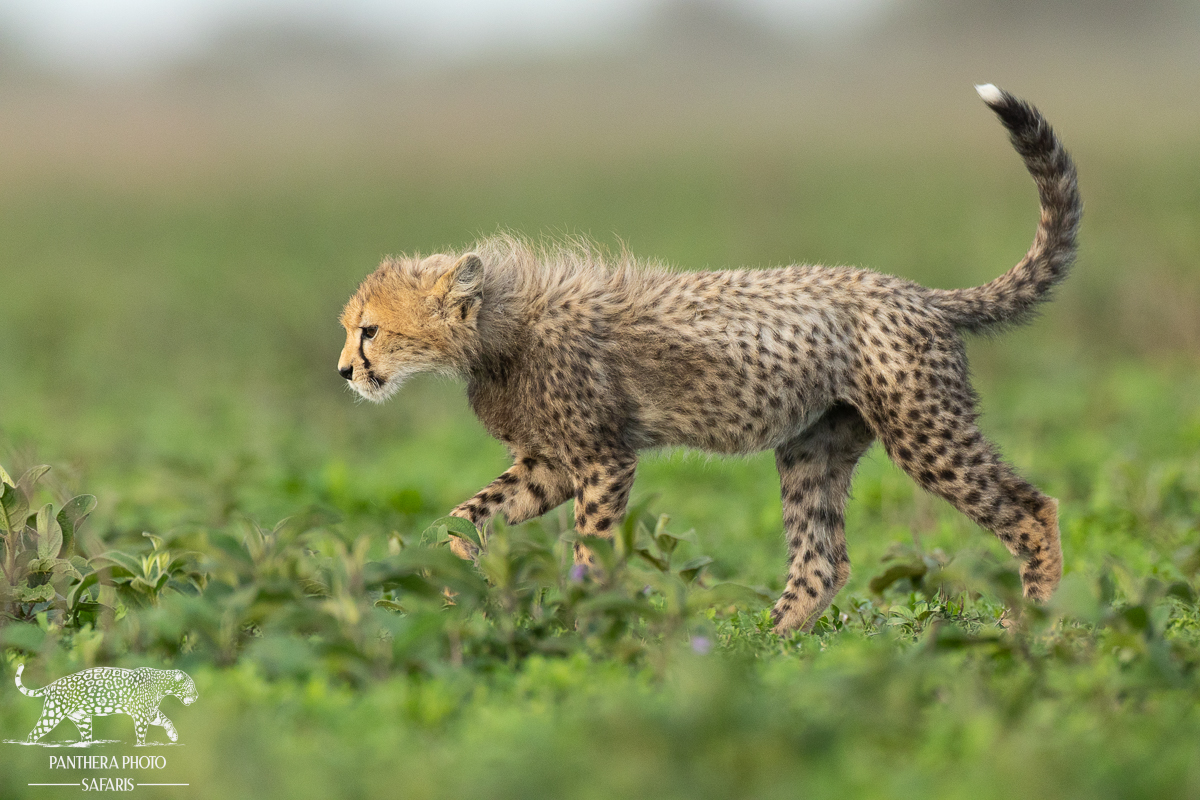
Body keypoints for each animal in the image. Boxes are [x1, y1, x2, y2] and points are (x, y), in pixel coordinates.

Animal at [15, 663, 198, 745]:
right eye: (192, 686)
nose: (197, 697)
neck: (163, 686)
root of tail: (51, 686)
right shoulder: (141, 715)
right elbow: (141, 734)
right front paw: (141, 746)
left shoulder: (150, 712)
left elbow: (166, 719)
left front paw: (173, 735)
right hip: (53, 714)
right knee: (34, 734)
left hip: (82, 720)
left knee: (85, 737)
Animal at [337, 84, 1081, 634]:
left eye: (369, 331)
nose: (345, 371)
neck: (497, 326)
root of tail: (917, 291)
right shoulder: (551, 461)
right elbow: (467, 512)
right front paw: (452, 575)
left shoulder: (603, 458)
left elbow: (590, 550)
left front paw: (586, 625)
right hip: (813, 444)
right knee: (823, 562)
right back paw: (759, 647)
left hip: (924, 429)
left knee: (1032, 508)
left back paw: (1029, 628)